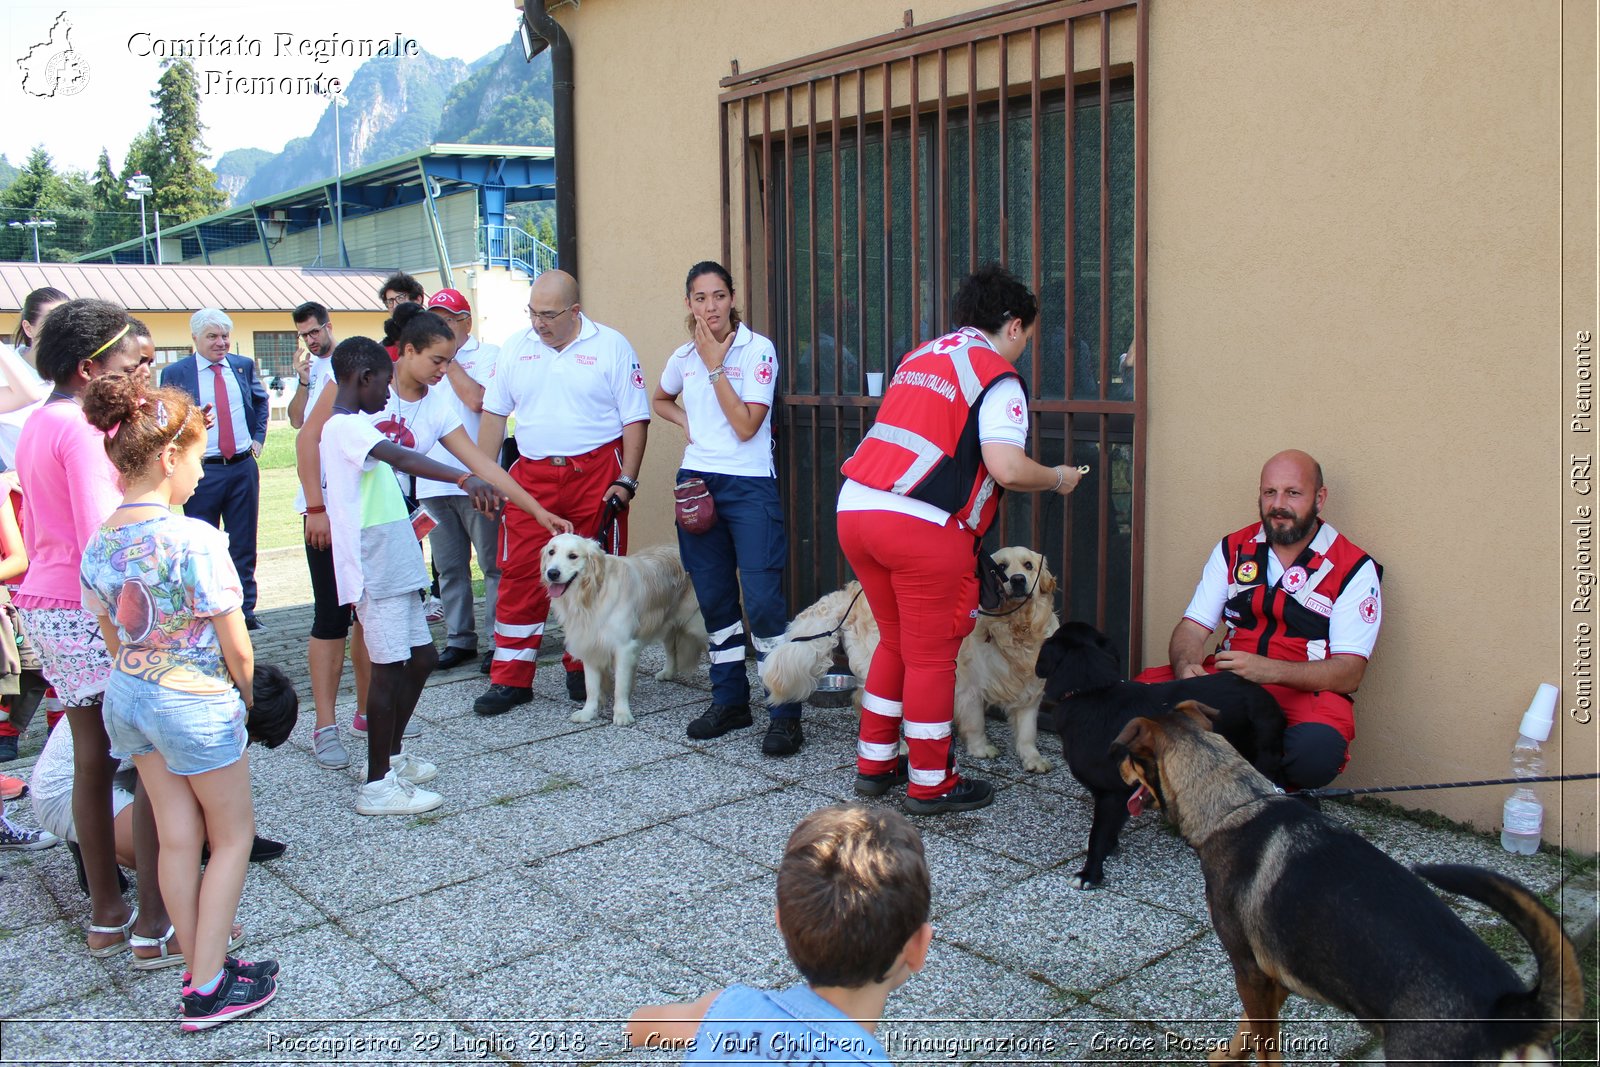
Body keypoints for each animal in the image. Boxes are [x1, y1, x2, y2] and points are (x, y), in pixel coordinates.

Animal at [544, 534, 707, 726]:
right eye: (551, 552)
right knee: (671, 648)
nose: (552, 573)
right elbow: (591, 687)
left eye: (573, 556)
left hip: (699, 624)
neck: (593, 594)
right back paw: (668, 672)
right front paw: (588, 712)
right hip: (667, 620)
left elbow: (620, 686)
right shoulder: (589, 644)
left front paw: (622, 714)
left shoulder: (623, 647)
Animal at [761, 550, 1062, 767]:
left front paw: (1033, 759)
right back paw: (898, 746)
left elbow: (1028, 731)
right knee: (868, 702)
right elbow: (976, 722)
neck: (1013, 629)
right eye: (1001, 566)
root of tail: (852, 592)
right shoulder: (969, 688)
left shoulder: (1031, 691)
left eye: (1028, 565)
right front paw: (981, 749)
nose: (1018, 580)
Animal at [1036, 620, 1286, 889]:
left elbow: (1097, 836)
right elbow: (1109, 830)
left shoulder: (1110, 793)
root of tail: (1264, 695)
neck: (1092, 691)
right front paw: (1108, 850)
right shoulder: (1120, 793)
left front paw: (1090, 874)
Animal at [1120, 703, 1580, 1062]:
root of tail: (1513, 1016)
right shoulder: (1275, 976)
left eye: (1128, 755)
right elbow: (1244, 1032)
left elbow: (1265, 1046)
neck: (1234, 802)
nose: (1117, 768)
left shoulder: (1249, 970)